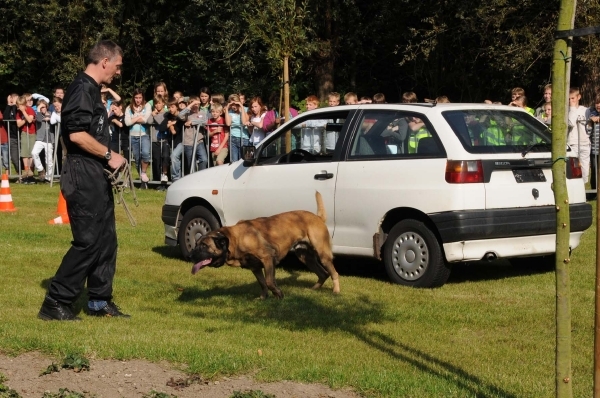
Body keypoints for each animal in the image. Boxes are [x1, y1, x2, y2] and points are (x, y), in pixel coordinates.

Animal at [192, 190, 342, 298]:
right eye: (196, 244)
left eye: (204, 246)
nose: (190, 255)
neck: (235, 238)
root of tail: (318, 218)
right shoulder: (255, 267)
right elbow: (263, 283)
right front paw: (264, 298)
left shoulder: (268, 258)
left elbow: (269, 281)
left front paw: (279, 295)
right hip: (305, 256)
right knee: (323, 274)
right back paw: (314, 289)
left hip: (323, 254)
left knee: (334, 273)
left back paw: (336, 291)